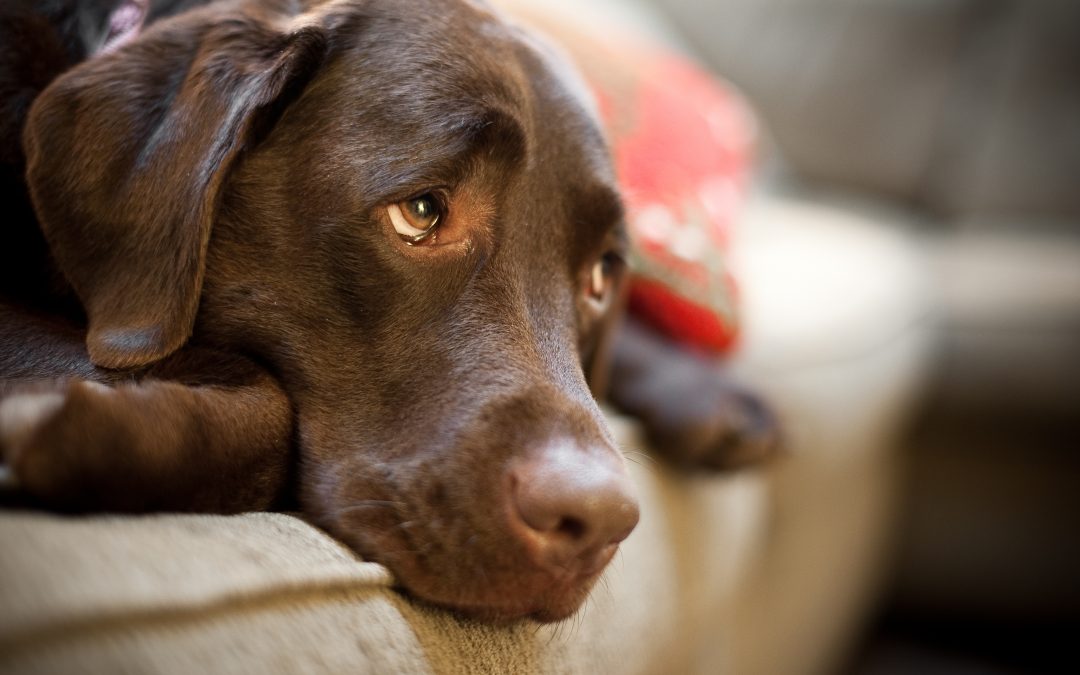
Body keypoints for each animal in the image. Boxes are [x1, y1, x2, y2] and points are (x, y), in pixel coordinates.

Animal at [0, 0, 777, 622]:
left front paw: (701, 388)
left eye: (599, 276)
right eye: (422, 211)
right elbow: (268, 416)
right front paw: (51, 425)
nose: (594, 520)